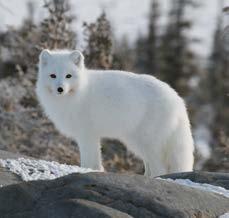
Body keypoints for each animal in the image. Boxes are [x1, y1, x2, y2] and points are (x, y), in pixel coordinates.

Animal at [36, 49, 194, 177]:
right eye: (52, 76)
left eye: (68, 76)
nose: (60, 89)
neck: (80, 92)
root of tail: (177, 99)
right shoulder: (89, 136)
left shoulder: (87, 134)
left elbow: (89, 161)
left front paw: (88, 171)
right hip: (137, 142)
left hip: (148, 141)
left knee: (160, 168)